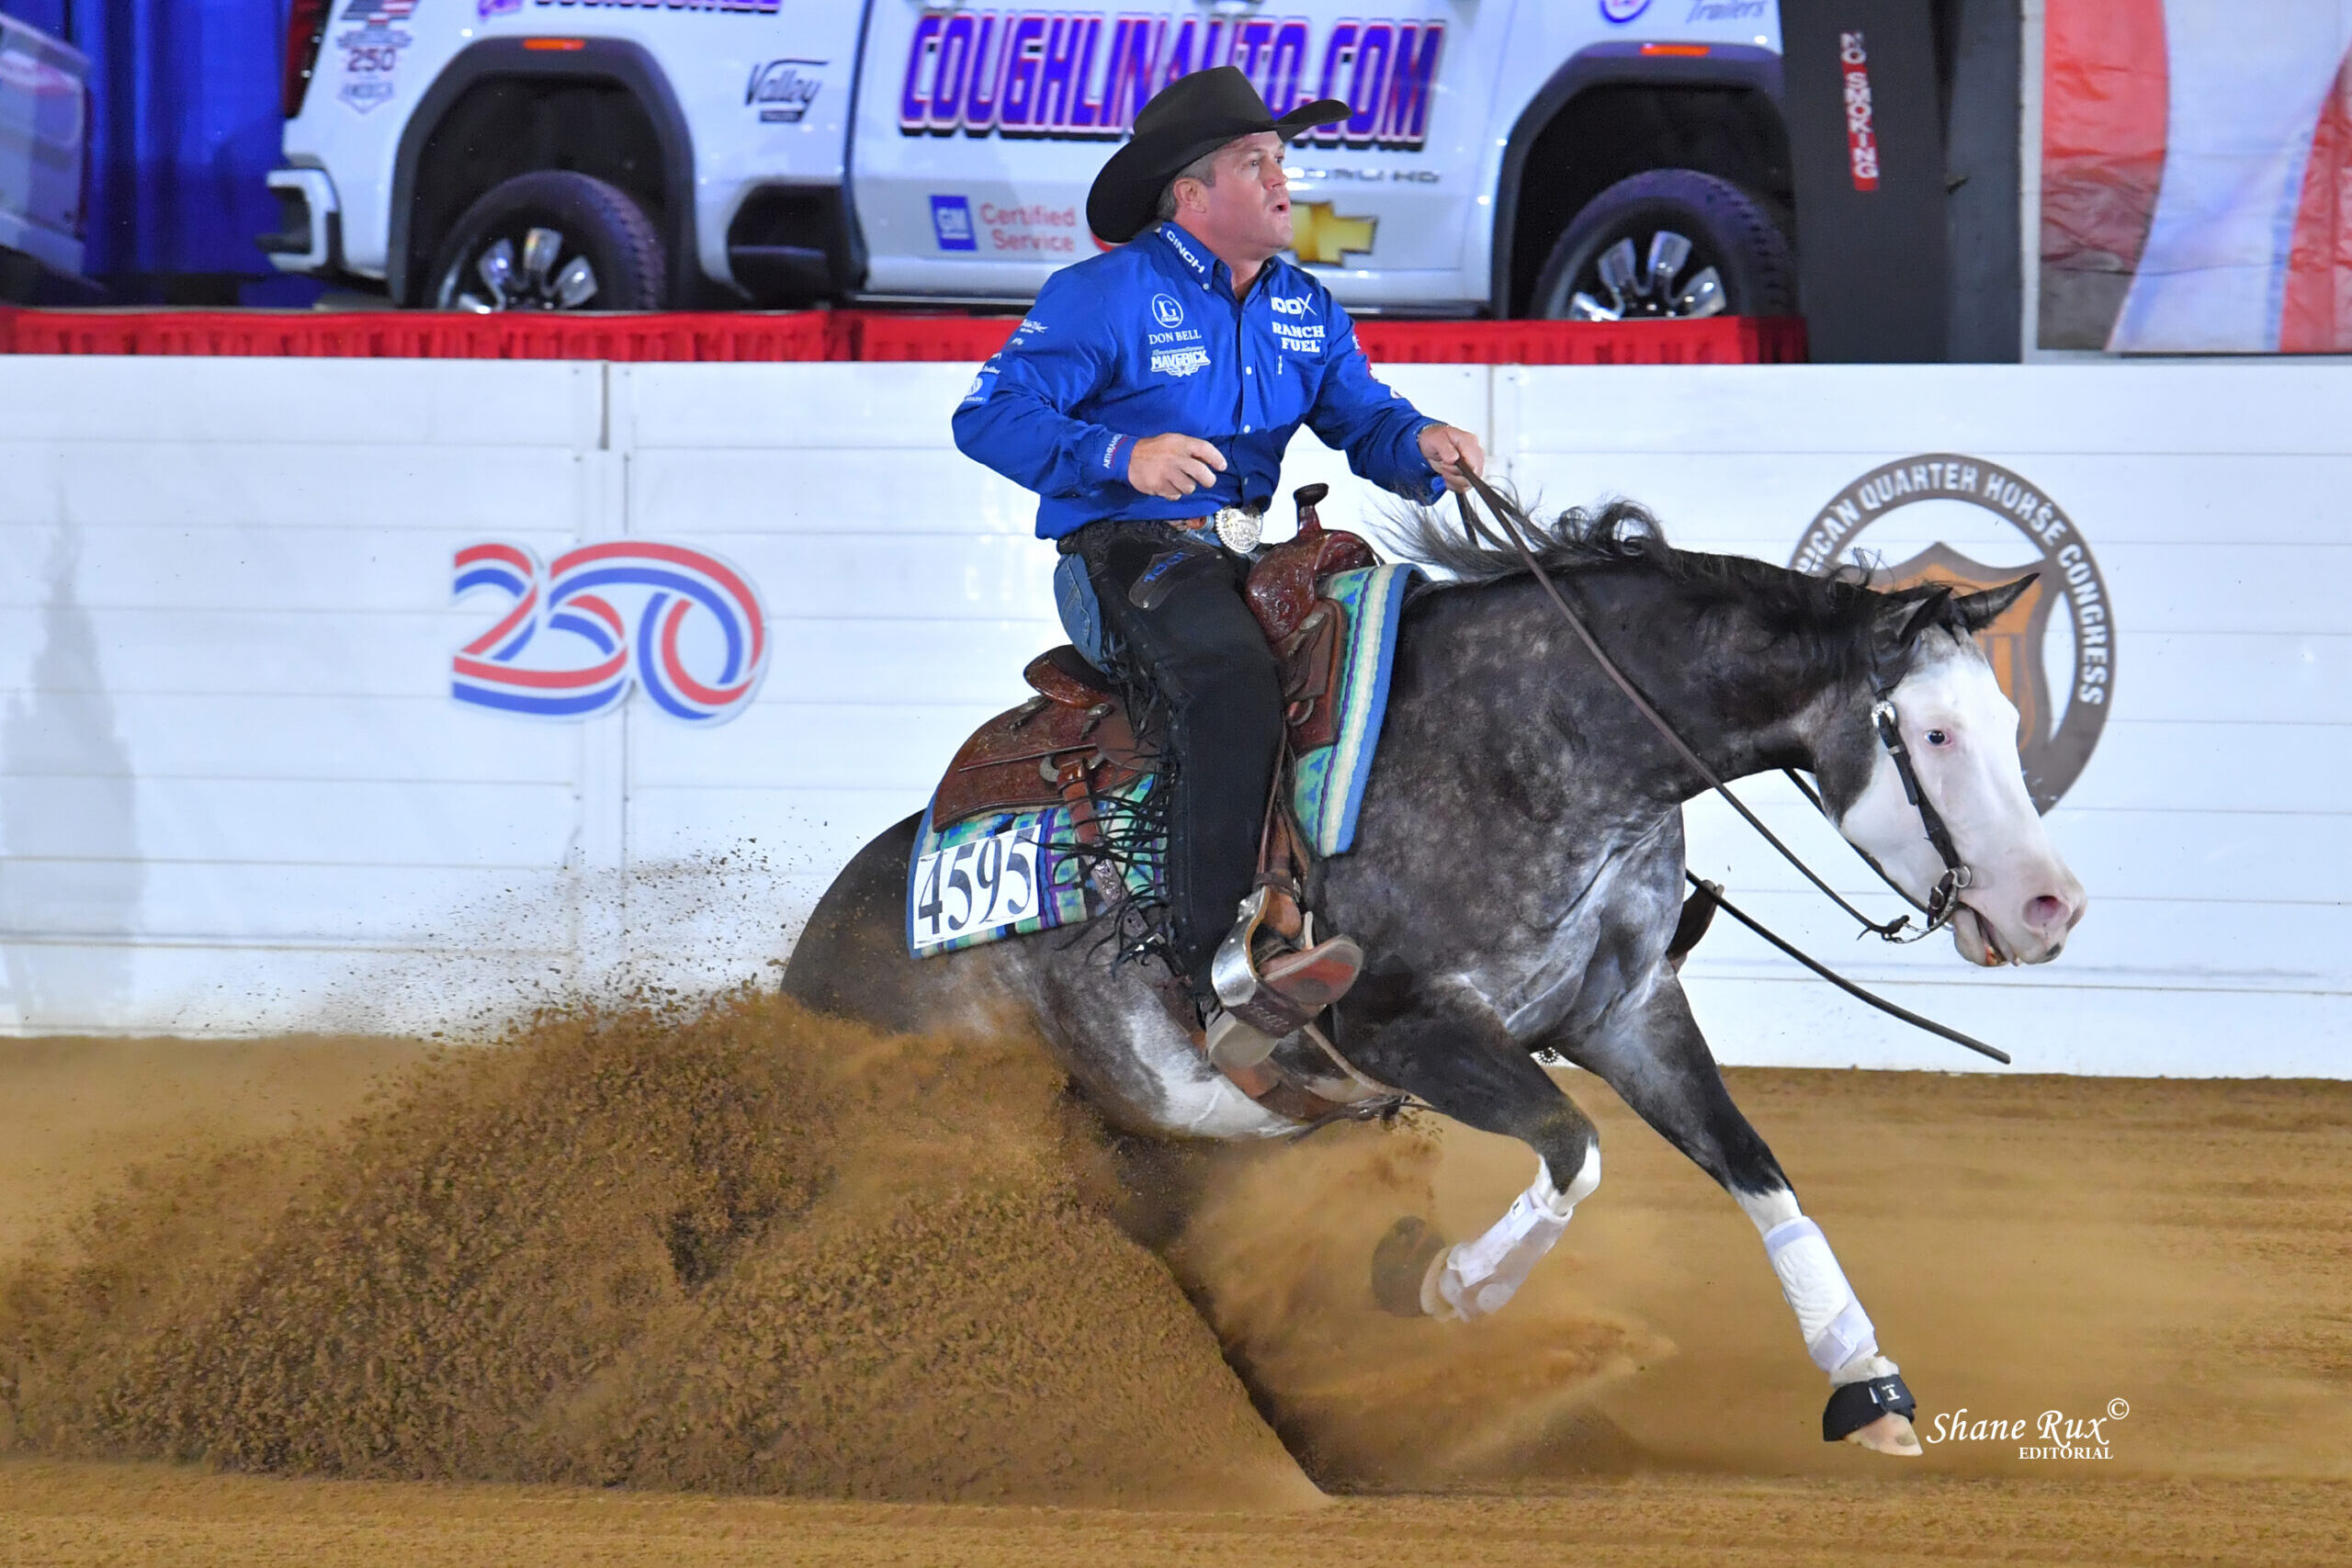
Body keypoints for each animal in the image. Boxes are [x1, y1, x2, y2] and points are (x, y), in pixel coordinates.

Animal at [782, 499, 2087, 1456]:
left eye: (2005, 718)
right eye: (1931, 735)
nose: (2049, 908)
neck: (1539, 746)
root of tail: (817, 954)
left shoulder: (1627, 1013)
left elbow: (1758, 1173)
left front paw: (1865, 1382)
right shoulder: (1401, 1025)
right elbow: (1572, 1149)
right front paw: (1443, 1284)